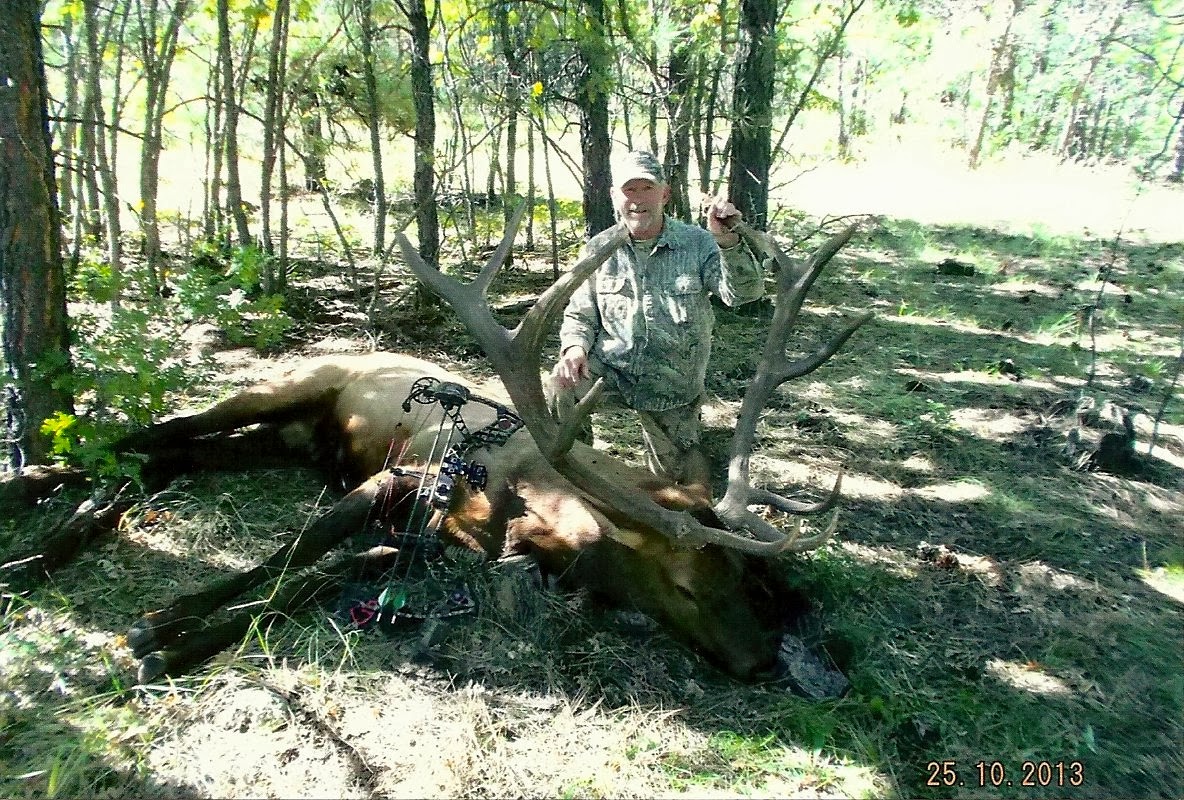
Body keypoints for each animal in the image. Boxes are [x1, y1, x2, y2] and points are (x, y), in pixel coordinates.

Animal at [0, 206, 872, 686]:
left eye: (746, 583)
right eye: (688, 588)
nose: (762, 661)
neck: (532, 508)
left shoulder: (425, 537)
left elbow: (314, 577)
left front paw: (178, 639)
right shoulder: (404, 480)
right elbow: (287, 559)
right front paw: (160, 629)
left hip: (288, 441)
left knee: (167, 458)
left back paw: (68, 528)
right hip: (289, 384)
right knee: (158, 429)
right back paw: (31, 495)